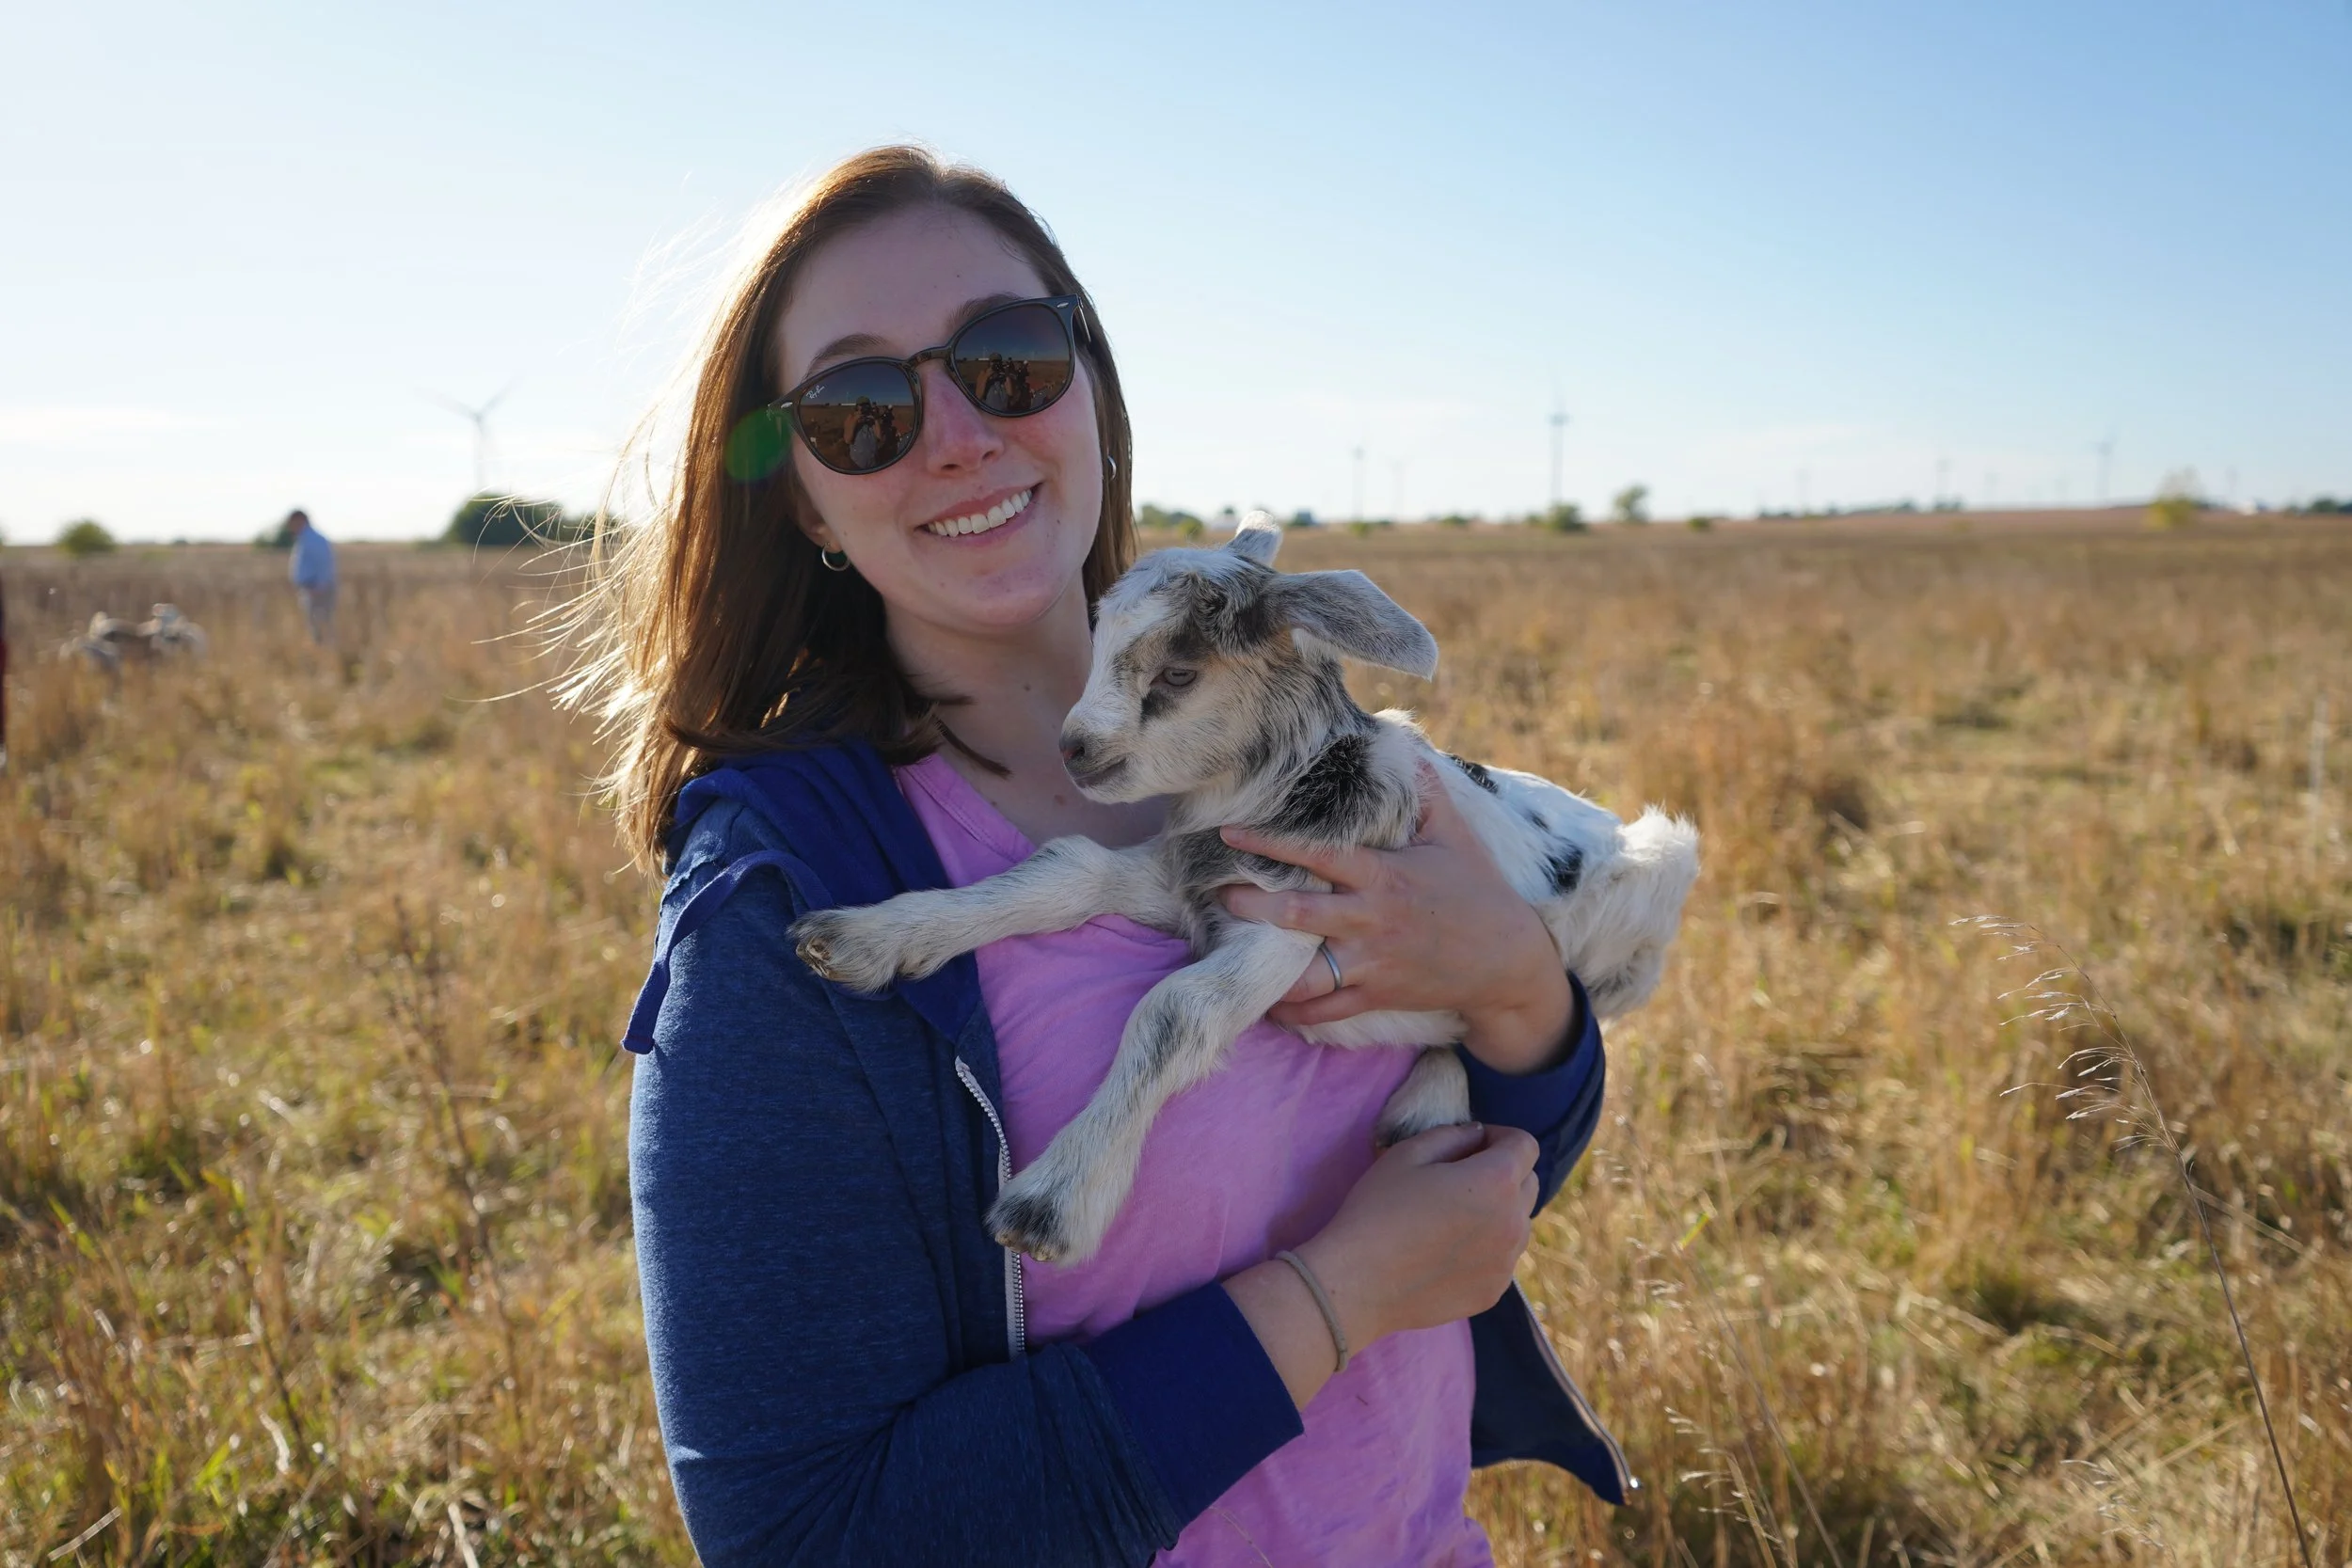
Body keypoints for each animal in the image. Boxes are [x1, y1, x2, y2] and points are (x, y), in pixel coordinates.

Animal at [793, 514, 1699, 1264]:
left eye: (1179, 673)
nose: (1075, 749)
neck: (1278, 792)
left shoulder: (1284, 930)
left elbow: (1174, 1011)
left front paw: (1053, 1201)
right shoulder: (1184, 882)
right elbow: (1066, 869)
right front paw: (863, 938)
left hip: (1655, 891)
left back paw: (1429, 1097)